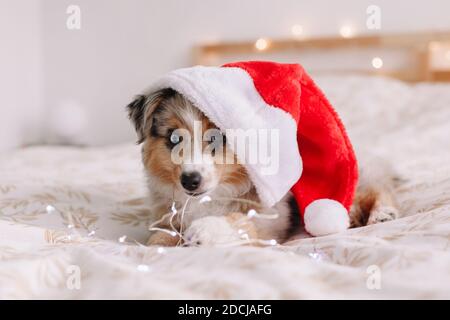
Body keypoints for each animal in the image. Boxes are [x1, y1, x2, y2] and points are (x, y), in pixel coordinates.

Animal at [125, 89, 398, 246]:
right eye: (174, 138)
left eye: (217, 138)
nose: (190, 180)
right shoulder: (165, 215)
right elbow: (159, 236)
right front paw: (156, 245)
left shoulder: (271, 219)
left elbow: (239, 220)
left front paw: (206, 229)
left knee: (375, 189)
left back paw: (382, 213)